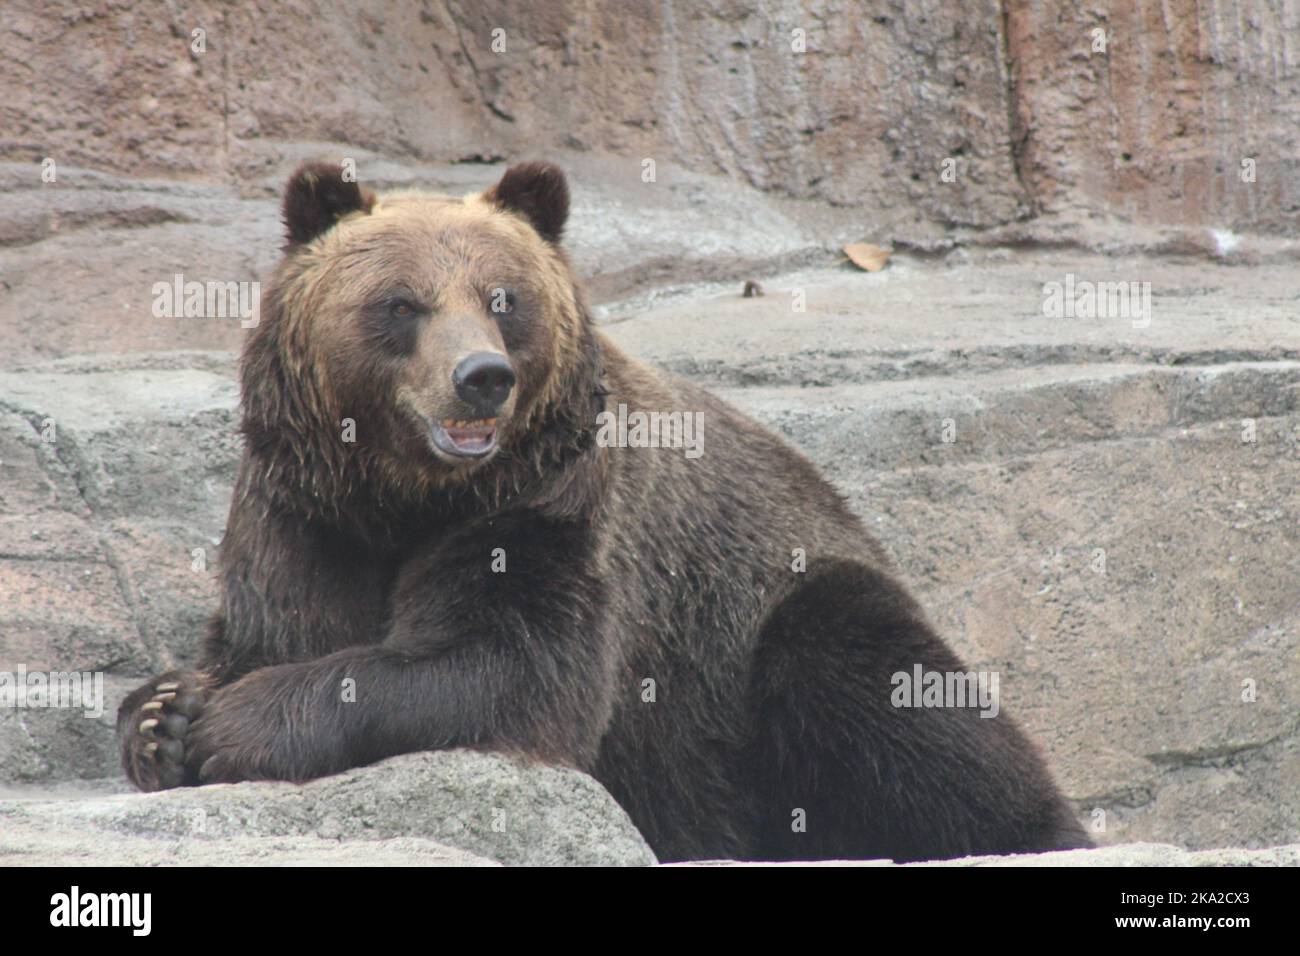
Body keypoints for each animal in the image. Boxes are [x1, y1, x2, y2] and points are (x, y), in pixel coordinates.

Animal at [122, 160, 1092, 863]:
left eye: (503, 299)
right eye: (400, 303)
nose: (482, 376)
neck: (404, 497)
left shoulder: (550, 510)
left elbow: (506, 667)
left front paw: (232, 722)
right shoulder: (301, 513)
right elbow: (272, 625)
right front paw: (163, 713)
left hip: (771, 625)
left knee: (885, 689)